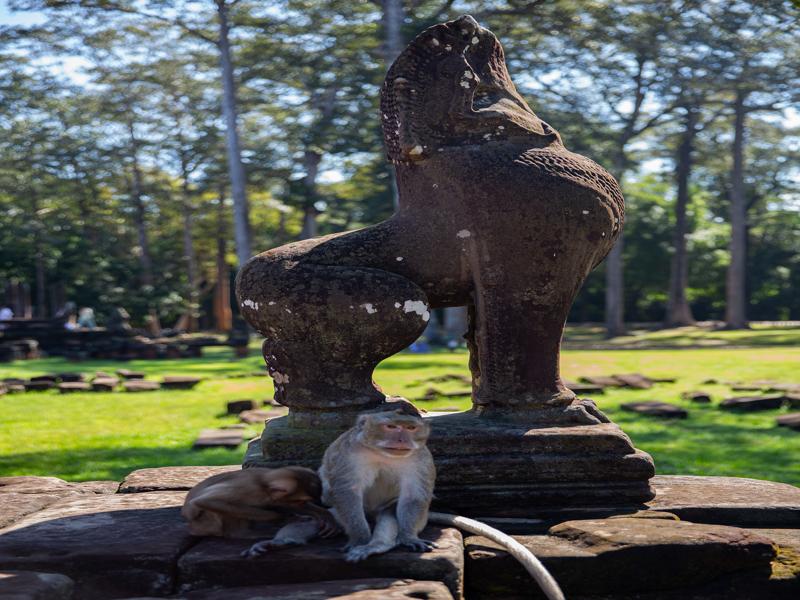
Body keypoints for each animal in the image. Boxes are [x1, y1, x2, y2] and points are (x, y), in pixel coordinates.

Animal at [181, 466, 338, 539]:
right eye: (298, 500)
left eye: (302, 502)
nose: (300, 505)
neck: (263, 484)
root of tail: (192, 526)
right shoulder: (249, 489)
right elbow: (206, 501)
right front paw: (283, 518)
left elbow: (281, 504)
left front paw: (326, 515)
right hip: (206, 522)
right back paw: (244, 534)